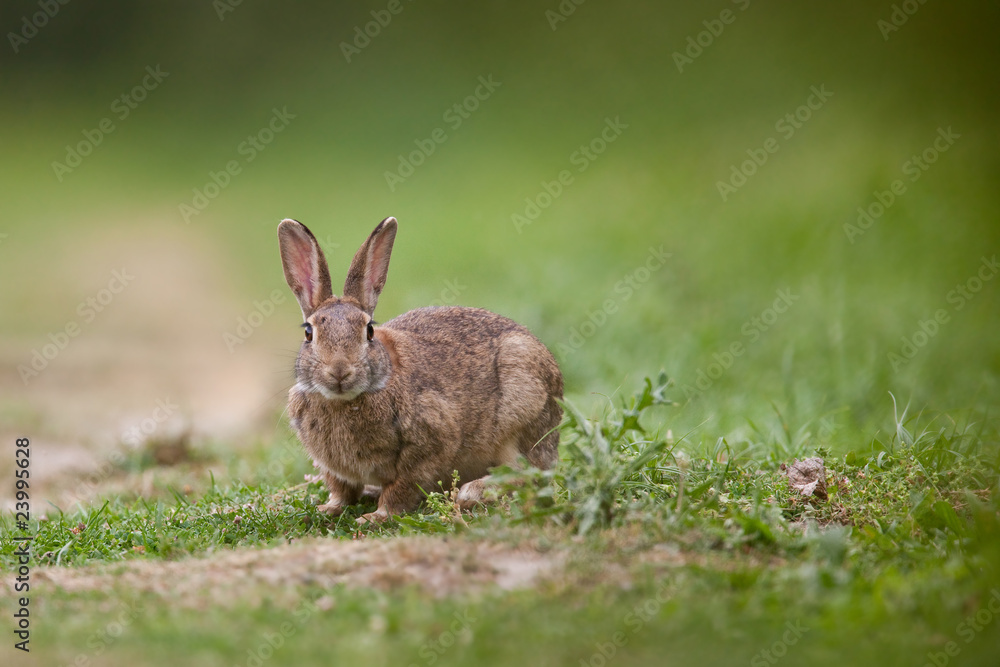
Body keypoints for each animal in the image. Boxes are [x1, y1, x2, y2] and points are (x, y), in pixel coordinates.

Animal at [278, 216, 563, 524]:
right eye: (308, 333)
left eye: (369, 331)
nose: (340, 371)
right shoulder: (333, 469)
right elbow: (341, 490)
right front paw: (327, 509)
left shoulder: (430, 443)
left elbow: (402, 487)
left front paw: (375, 517)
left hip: (520, 410)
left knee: (527, 474)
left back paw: (472, 492)